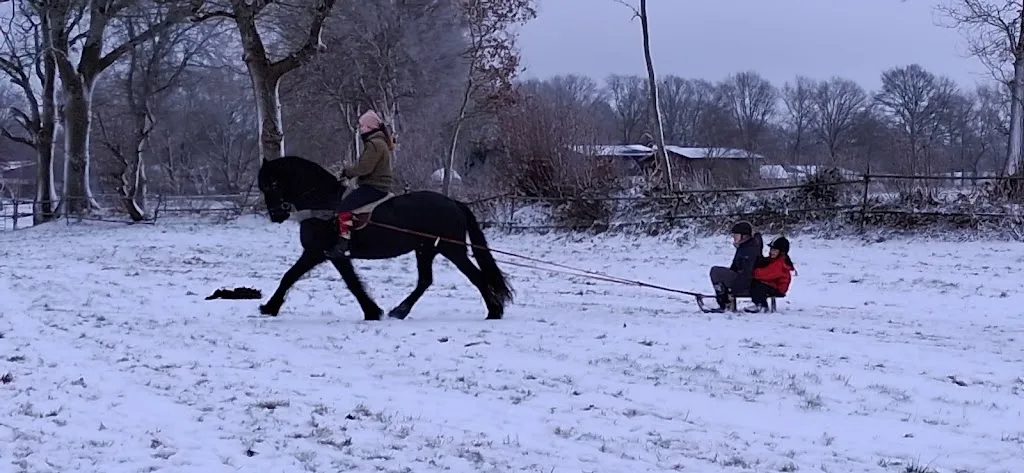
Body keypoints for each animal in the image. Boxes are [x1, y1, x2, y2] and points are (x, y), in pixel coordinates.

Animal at [255, 155, 513, 321]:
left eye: (273, 184)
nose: (276, 215)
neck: (323, 206)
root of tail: (454, 203)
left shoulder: (317, 252)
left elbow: (290, 276)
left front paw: (269, 307)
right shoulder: (333, 256)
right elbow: (352, 282)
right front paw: (372, 311)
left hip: (452, 250)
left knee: (476, 277)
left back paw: (494, 312)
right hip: (426, 249)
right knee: (425, 280)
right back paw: (400, 311)